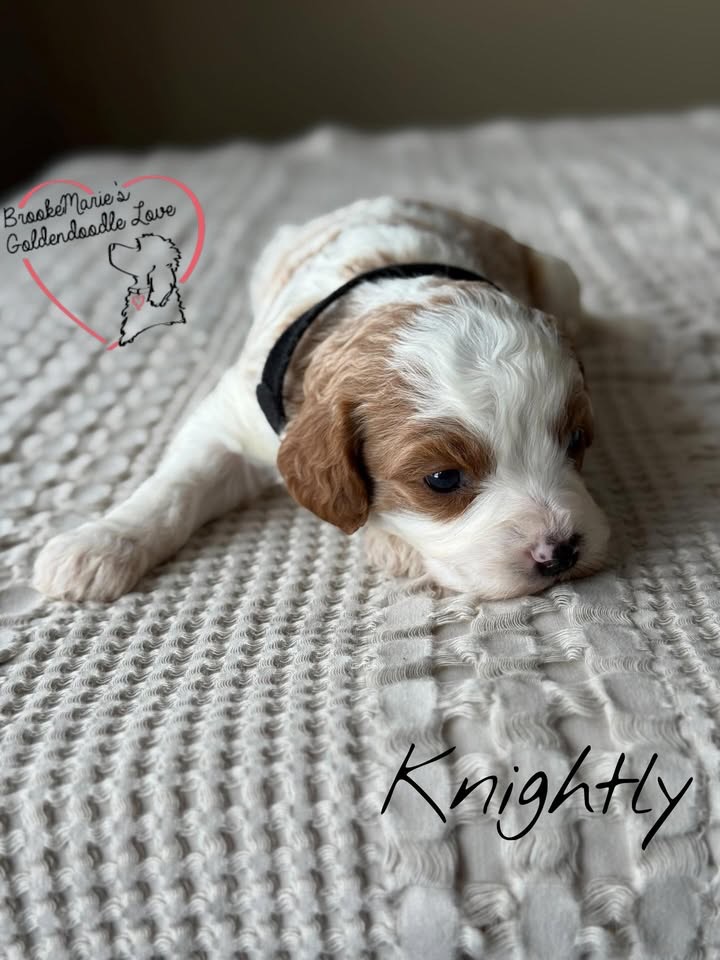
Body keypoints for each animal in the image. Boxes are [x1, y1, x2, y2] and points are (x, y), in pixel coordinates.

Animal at [34, 197, 609, 602]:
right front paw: (101, 544)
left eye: (576, 441)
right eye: (443, 479)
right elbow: (175, 486)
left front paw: (388, 541)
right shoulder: (229, 419)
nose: (561, 551)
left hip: (557, 275)